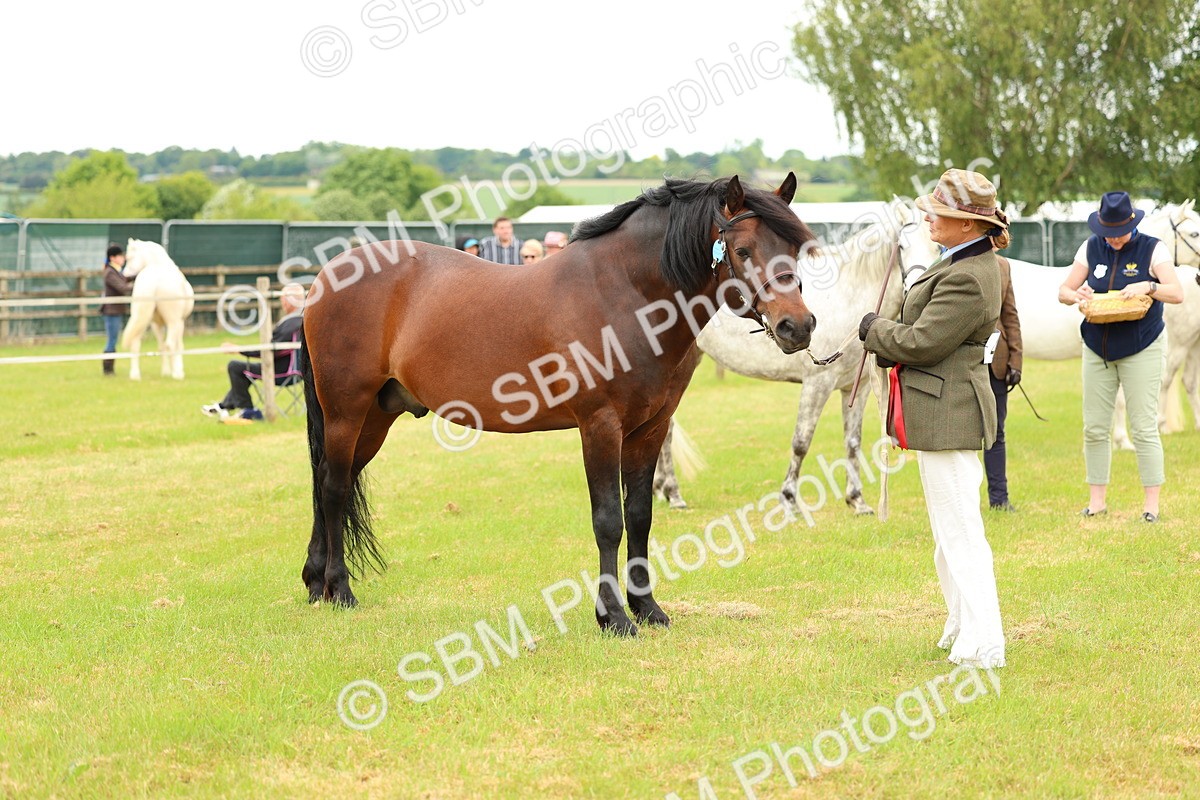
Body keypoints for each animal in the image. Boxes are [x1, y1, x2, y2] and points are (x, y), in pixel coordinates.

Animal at [120, 239, 195, 380]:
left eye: (130, 257)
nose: (124, 276)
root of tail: (154, 281)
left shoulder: (156, 324)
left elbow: (161, 346)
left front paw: (165, 372)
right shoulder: (180, 322)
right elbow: (178, 346)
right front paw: (178, 370)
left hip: (143, 320)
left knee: (135, 343)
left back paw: (135, 375)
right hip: (173, 322)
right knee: (170, 344)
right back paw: (176, 375)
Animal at [299, 174, 819, 635]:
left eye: (794, 249)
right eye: (743, 250)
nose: (797, 326)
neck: (624, 294)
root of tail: (326, 276)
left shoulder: (650, 428)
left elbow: (640, 516)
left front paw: (648, 609)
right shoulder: (600, 426)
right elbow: (608, 521)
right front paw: (614, 617)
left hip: (375, 417)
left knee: (330, 481)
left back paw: (315, 583)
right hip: (346, 411)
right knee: (334, 488)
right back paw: (340, 590)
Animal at [652, 199, 940, 514]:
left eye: (938, 246)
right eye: (901, 245)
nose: (917, 289)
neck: (849, 298)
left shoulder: (859, 387)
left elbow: (853, 441)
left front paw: (857, 500)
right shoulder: (818, 383)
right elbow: (801, 442)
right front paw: (789, 499)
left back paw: (663, 489)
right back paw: (673, 493)